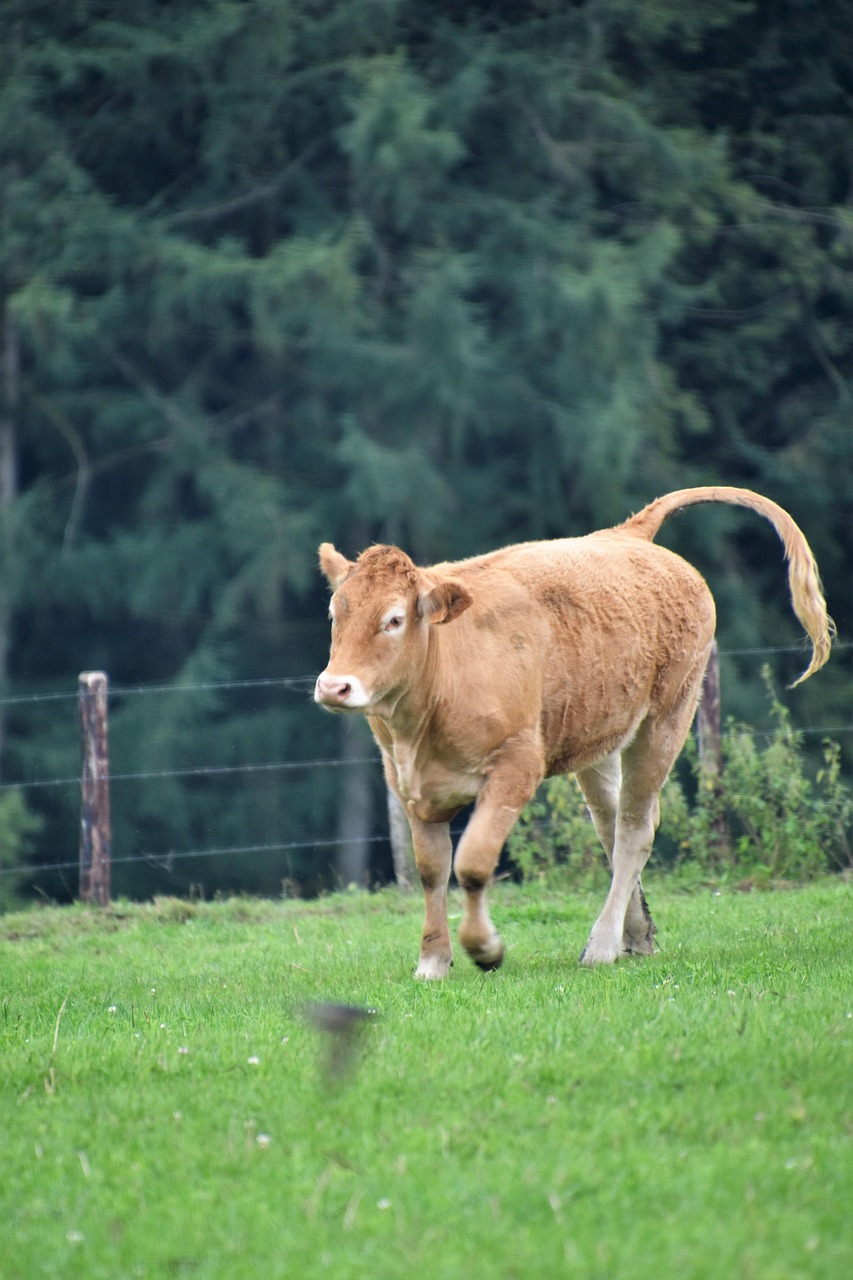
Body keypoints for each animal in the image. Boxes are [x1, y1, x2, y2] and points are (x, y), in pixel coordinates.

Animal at [314, 487, 834, 977]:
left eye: (394, 619)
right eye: (335, 613)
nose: (334, 686)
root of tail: (626, 535)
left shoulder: (517, 767)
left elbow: (473, 863)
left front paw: (484, 948)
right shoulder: (407, 783)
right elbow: (431, 870)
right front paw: (433, 960)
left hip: (667, 718)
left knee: (634, 829)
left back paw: (602, 944)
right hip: (600, 737)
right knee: (611, 825)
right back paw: (635, 933)